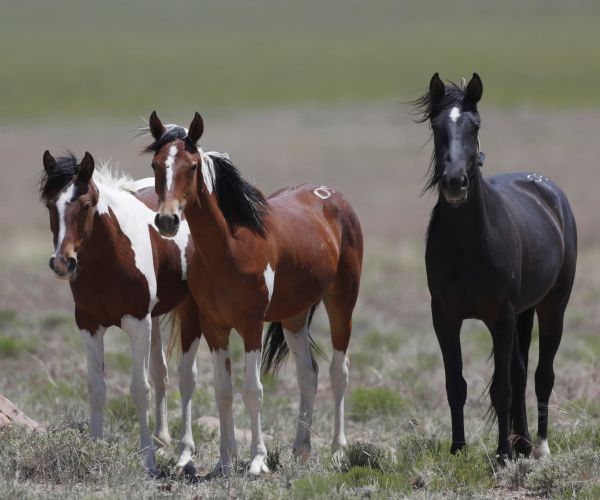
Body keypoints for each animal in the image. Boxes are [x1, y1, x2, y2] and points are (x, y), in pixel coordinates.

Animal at [41, 151, 204, 472]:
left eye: (86, 204)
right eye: (50, 204)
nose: (63, 263)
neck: (110, 257)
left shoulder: (138, 324)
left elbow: (140, 389)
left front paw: (148, 460)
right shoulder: (89, 325)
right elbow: (96, 388)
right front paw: (94, 448)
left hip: (189, 312)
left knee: (187, 377)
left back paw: (184, 451)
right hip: (156, 318)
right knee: (161, 372)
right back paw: (162, 438)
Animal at [143, 113, 364, 476]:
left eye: (192, 166)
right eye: (156, 164)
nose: (166, 220)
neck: (230, 248)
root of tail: (334, 197)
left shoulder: (250, 326)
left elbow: (253, 390)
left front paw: (257, 460)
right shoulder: (214, 327)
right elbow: (223, 390)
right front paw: (224, 460)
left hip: (341, 304)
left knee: (338, 372)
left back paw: (337, 451)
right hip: (293, 317)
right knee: (308, 375)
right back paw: (301, 449)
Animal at [414, 72, 576, 462]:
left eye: (475, 125)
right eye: (437, 125)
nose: (454, 182)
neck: (468, 245)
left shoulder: (500, 316)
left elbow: (501, 388)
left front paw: (502, 455)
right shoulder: (444, 316)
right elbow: (455, 384)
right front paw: (458, 449)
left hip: (553, 306)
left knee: (541, 375)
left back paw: (540, 447)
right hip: (524, 311)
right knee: (520, 372)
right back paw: (524, 443)